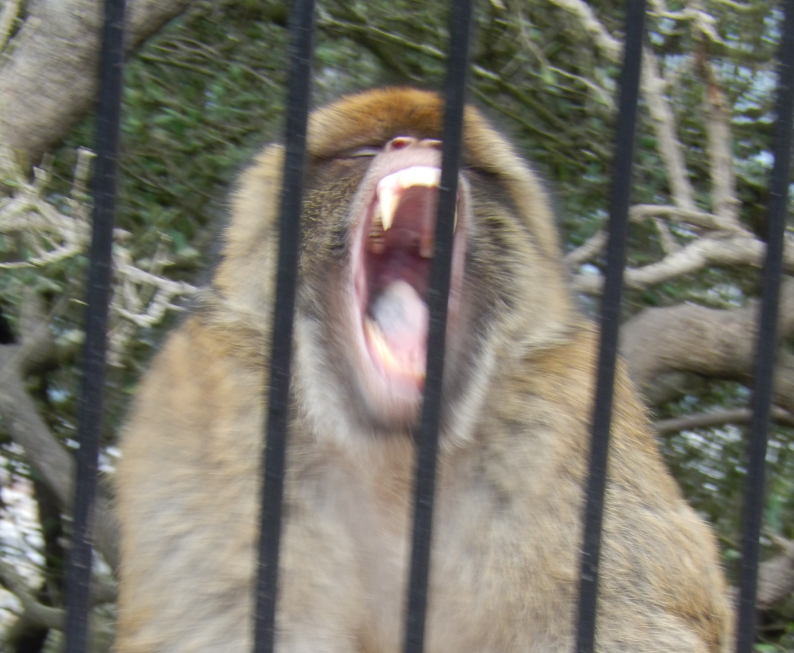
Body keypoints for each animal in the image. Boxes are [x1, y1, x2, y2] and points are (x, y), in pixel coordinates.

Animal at [113, 88, 732, 652]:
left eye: (465, 158)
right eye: (365, 150)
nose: (421, 144)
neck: (395, 456)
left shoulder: (571, 415)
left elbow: (628, 621)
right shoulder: (216, 405)